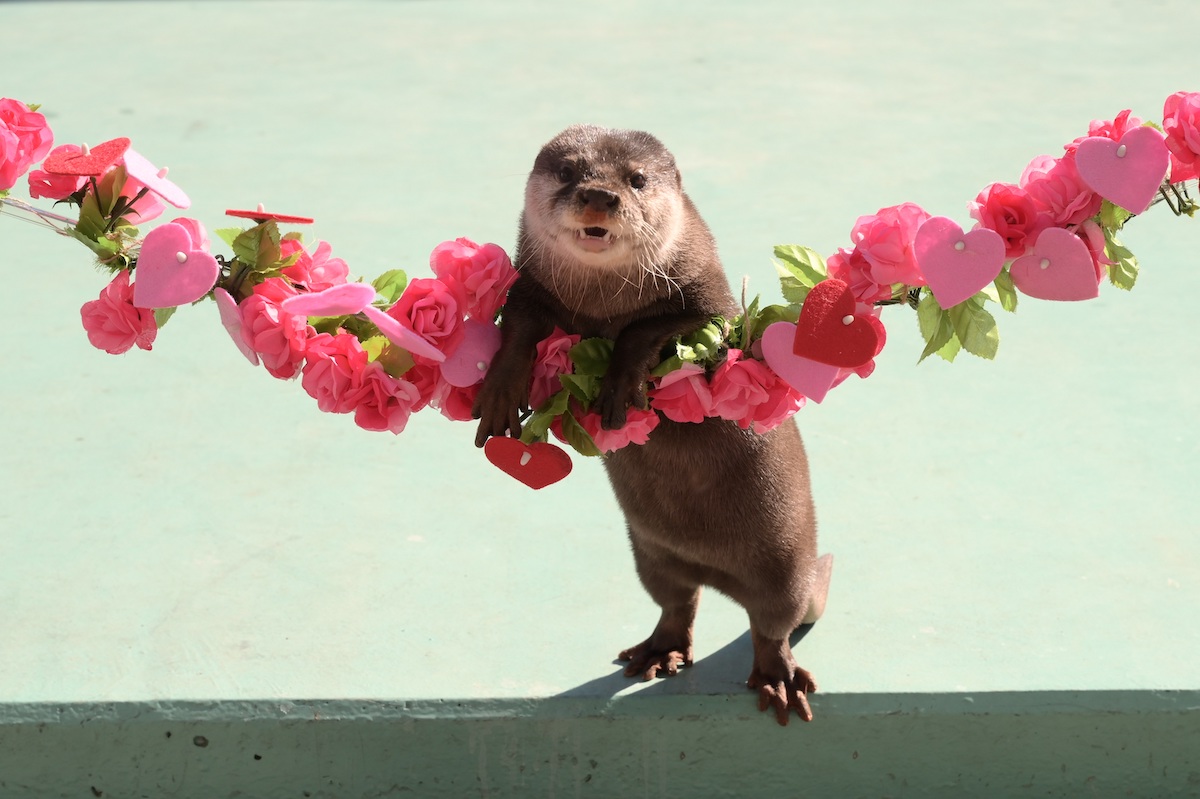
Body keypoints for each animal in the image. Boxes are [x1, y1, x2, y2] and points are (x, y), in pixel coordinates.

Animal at [472, 122, 830, 719]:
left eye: (637, 179)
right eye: (567, 171)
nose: (599, 195)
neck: (602, 305)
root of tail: (716, 571)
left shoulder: (711, 300)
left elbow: (656, 327)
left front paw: (620, 387)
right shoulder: (531, 284)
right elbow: (519, 322)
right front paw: (501, 389)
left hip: (784, 565)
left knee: (771, 625)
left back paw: (778, 677)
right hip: (650, 553)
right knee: (676, 601)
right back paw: (659, 651)